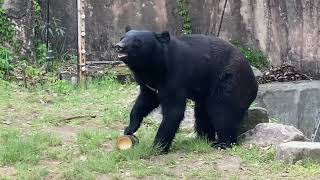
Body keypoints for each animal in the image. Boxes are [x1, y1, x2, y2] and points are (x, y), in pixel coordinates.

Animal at [114, 26, 258, 152]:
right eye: (122, 37)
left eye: (137, 41)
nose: (118, 46)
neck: (153, 67)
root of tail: (253, 81)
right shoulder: (149, 84)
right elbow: (145, 101)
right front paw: (130, 128)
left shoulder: (174, 76)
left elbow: (174, 111)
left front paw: (157, 146)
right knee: (202, 113)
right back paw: (204, 139)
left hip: (230, 82)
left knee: (222, 111)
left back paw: (223, 143)